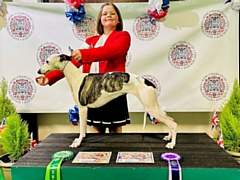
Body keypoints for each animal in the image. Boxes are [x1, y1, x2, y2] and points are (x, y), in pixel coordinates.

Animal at [37, 53, 176, 149]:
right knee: (170, 119)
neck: (76, 77)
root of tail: (149, 83)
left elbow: (82, 129)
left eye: (47, 61)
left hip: (150, 107)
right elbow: (84, 129)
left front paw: (78, 142)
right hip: (153, 106)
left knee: (173, 124)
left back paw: (172, 144)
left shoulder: (82, 108)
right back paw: (168, 137)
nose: (38, 71)